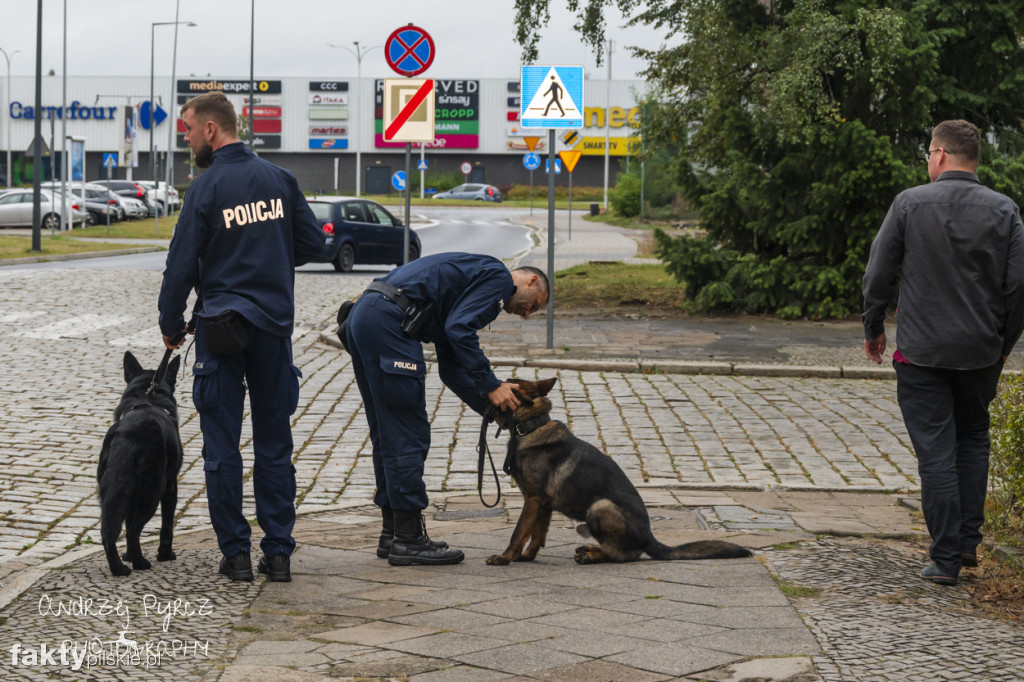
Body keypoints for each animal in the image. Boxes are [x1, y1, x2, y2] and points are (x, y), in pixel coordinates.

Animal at [96, 350, 183, 573]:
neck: (148, 397)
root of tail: (128, 435)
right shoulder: (171, 486)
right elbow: (167, 525)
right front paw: (165, 555)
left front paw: (126, 555)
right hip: (151, 493)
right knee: (133, 531)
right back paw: (140, 563)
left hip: (110, 492)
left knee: (109, 531)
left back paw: (118, 567)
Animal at [487, 376, 753, 561]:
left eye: (507, 384)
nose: (488, 391)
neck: (532, 426)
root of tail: (649, 538)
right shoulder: (544, 504)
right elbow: (537, 534)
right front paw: (526, 556)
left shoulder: (533, 499)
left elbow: (519, 532)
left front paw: (504, 558)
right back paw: (590, 549)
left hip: (600, 506)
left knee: (623, 555)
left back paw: (592, 554)